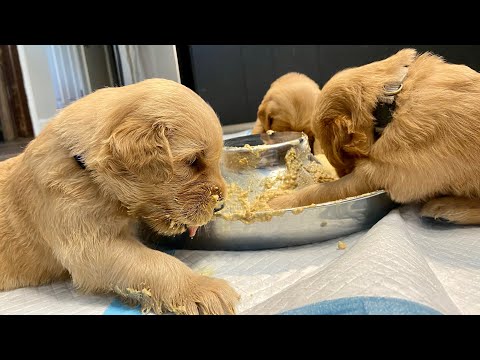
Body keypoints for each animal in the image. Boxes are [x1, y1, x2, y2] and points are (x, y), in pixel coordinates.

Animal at [0, 78, 240, 312]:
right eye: (192, 161)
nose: (220, 207)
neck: (85, 169)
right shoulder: (89, 244)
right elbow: (157, 263)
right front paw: (200, 287)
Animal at [268, 48, 480, 224]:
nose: (341, 172)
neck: (388, 104)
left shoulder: (379, 174)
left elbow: (320, 191)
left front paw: (276, 202)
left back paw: (446, 208)